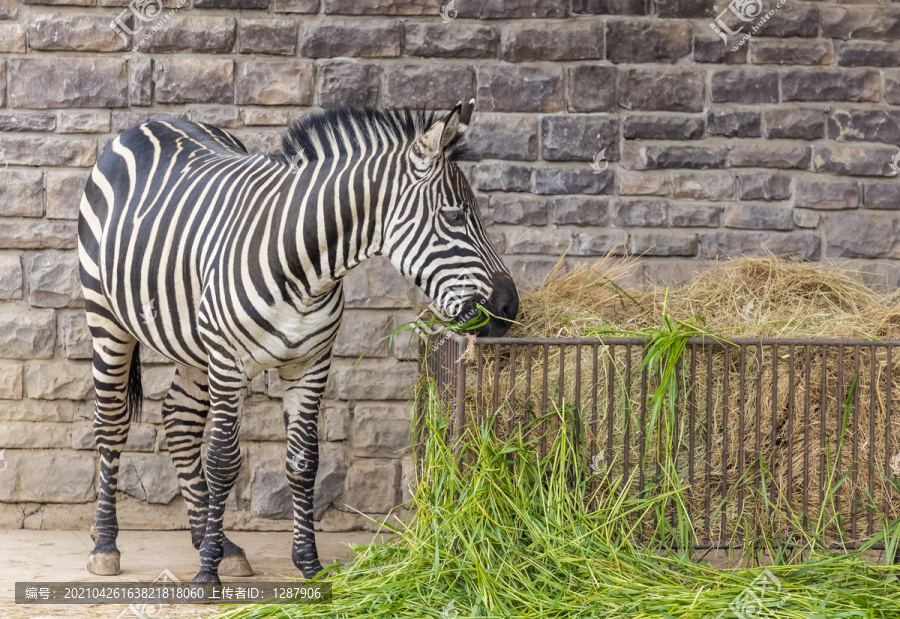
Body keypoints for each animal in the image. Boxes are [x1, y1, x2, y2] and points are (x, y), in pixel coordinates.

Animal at [77, 99, 520, 584]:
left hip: (193, 344)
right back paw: (106, 545)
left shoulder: (311, 364)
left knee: (179, 421)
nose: (510, 306)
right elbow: (224, 462)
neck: (305, 268)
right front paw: (207, 574)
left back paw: (215, 543)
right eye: (455, 217)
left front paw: (309, 565)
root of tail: (148, 123)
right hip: (107, 319)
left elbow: (304, 463)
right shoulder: (228, 362)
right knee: (112, 423)